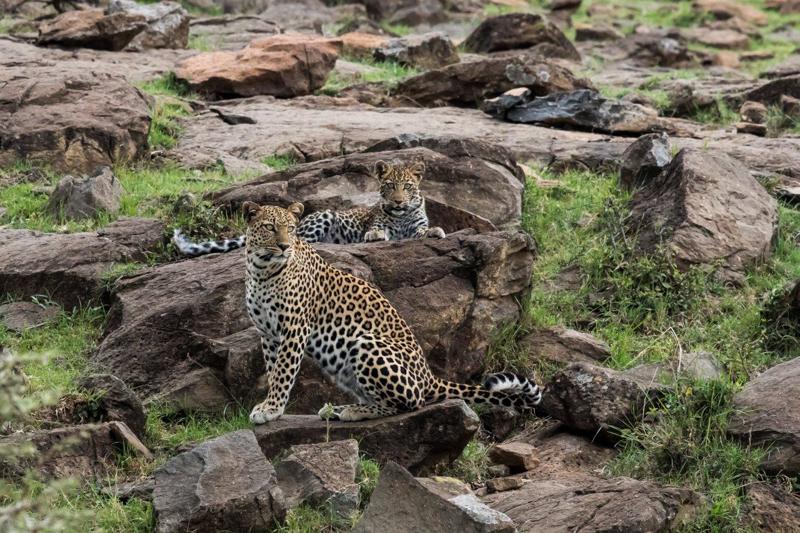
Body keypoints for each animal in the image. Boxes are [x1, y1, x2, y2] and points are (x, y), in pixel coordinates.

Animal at [172, 160, 444, 256]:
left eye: (407, 187)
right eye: (389, 186)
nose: (398, 201)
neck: (400, 216)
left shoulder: (415, 225)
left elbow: (421, 231)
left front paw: (435, 232)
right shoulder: (377, 222)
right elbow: (377, 229)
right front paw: (376, 235)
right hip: (324, 216)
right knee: (301, 239)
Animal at [239, 201, 536, 424]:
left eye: (290, 229)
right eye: (269, 228)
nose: (284, 246)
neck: (261, 271)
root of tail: (428, 377)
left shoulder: (294, 328)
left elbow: (283, 372)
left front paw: (271, 409)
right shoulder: (268, 334)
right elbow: (273, 369)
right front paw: (271, 406)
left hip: (366, 344)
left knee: (409, 404)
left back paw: (352, 411)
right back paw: (335, 410)